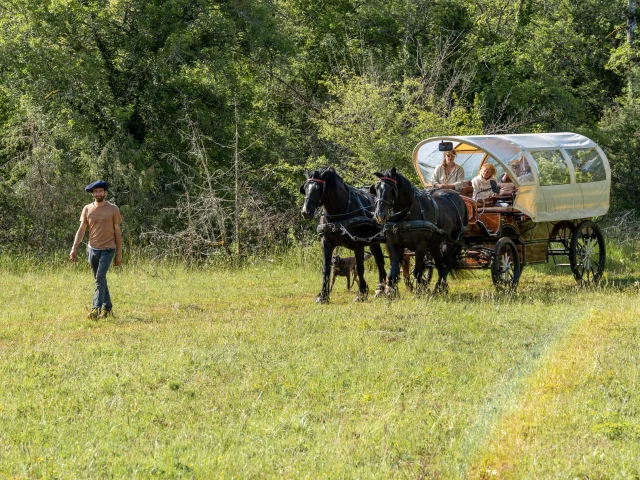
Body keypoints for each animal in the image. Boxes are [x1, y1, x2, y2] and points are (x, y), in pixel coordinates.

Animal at [302, 168, 388, 304]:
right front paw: (323, 295)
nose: (306, 212)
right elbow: (325, 269)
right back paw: (380, 289)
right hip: (374, 242)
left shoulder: (358, 244)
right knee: (380, 262)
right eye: (305, 187)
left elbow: (360, 268)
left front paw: (361, 293)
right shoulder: (326, 244)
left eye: (319, 188)